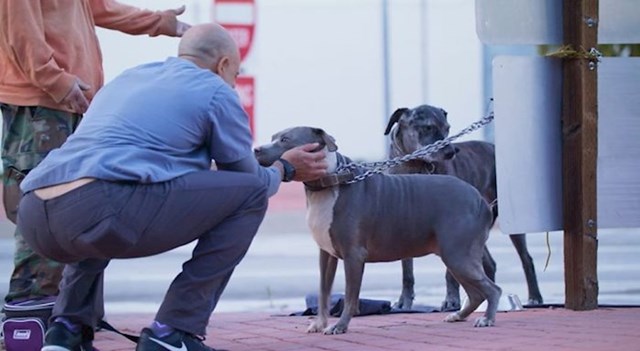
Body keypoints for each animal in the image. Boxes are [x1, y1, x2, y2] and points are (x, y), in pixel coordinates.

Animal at [254, 127, 500, 336]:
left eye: (285, 140)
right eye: (274, 136)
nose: (256, 149)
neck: (329, 182)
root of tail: (479, 200)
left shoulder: (354, 255)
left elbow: (351, 297)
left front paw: (339, 326)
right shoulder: (326, 255)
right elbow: (324, 292)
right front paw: (319, 323)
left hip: (458, 254)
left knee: (492, 289)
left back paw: (487, 319)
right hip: (456, 256)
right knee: (476, 293)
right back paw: (459, 315)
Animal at [384, 104, 544, 310]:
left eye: (447, 128)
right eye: (427, 127)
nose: (451, 151)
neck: (416, 165)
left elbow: (450, 273)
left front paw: (452, 300)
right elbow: (407, 270)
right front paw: (404, 300)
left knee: (526, 259)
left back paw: (534, 297)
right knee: (489, 264)